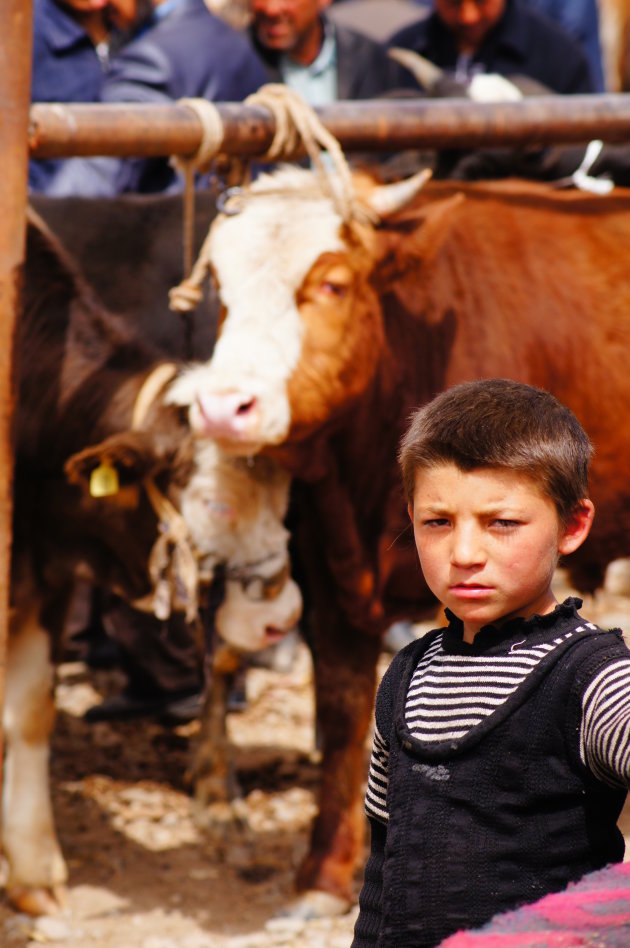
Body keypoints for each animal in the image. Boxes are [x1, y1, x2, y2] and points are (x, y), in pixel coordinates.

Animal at [3, 209, 302, 920]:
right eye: (214, 504)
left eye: (284, 496)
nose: (283, 619)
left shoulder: (49, 580)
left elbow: (29, 710)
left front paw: (33, 869)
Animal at [168, 165, 630, 920]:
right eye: (222, 294)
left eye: (332, 284)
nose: (222, 408)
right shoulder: (326, 572)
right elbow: (343, 710)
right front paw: (324, 873)